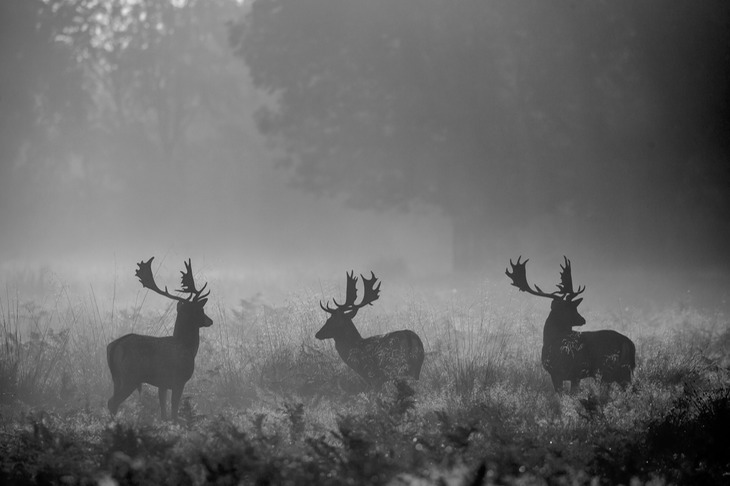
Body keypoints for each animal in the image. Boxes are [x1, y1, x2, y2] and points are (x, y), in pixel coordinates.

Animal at [106, 258, 212, 422]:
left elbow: (163, 412)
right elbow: (174, 410)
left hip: (116, 378)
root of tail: (115, 345)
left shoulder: (162, 384)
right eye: (200, 310)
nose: (210, 321)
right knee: (112, 402)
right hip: (130, 376)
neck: (188, 347)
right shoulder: (178, 379)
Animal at [506, 256, 632, 392]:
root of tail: (627, 343)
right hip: (623, 371)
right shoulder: (568, 375)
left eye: (574, 307)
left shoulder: (563, 372)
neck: (551, 339)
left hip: (606, 370)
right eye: (569, 308)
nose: (583, 319)